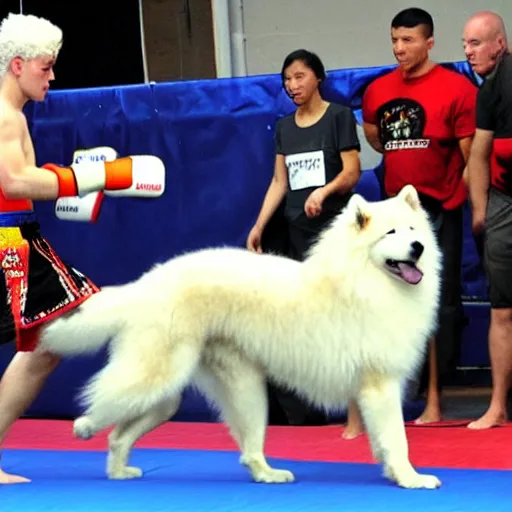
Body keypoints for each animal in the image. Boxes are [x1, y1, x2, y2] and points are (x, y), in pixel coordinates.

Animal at [38, 184, 442, 488]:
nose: (418, 248)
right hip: (157, 376)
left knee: (134, 436)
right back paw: (84, 427)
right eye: (390, 233)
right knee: (105, 401)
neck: (363, 280)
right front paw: (412, 479)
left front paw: (395, 474)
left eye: (413, 231)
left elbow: (385, 440)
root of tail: (146, 284)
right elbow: (397, 439)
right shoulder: (380, 385)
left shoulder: (378, 388)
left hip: (206, 392)